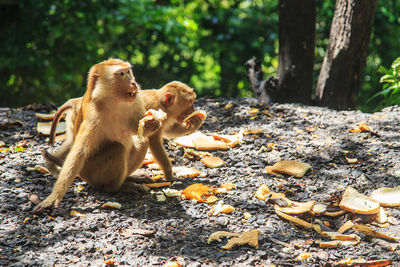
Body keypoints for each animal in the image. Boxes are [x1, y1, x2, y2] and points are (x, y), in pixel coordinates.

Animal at [32, 58, 162, 214]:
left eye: (128, 72)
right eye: (122, 74)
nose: (133, 82)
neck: (113, 101)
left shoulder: (136, 100)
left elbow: (138, 129)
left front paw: (151, 123)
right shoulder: (94, 115)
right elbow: (79, 153)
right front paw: (53, 197)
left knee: (142, 142)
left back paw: (129, 178)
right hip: (91, 173)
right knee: (117, 149)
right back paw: (116, 188)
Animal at [44, 80, 206, 183]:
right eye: (190, 102)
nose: (193, 109)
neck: (163, 104)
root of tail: (76, 102)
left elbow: (169, 131)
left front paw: (194, 123)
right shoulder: (154, 109)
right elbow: (154, 142)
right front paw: (169, 175)